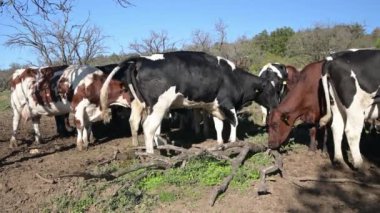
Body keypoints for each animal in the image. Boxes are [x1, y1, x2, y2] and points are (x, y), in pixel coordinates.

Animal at [100, 51, 280, 153]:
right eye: (271, 91)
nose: (277, 105)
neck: (234, 78)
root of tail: (141, 59)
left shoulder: (215, 107)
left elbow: (219, 125)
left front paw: (220, 143)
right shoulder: (227, 103)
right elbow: (234, 122)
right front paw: (233, 141)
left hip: (148, 106)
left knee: (147, 126)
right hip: (160, 105)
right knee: (148, 127)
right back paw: (152, 154)